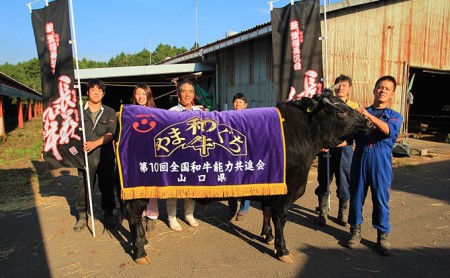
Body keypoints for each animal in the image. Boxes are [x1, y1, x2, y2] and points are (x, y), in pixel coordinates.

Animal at [122, 93, 370, 264]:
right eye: (342, 111)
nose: (367, 123)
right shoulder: (286, 192)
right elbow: (281, 219)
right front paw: (282, 250)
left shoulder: (271, 184)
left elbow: (268, 212)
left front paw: (266, 236)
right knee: (134, 216)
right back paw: (140, 252)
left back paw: (142, 243)